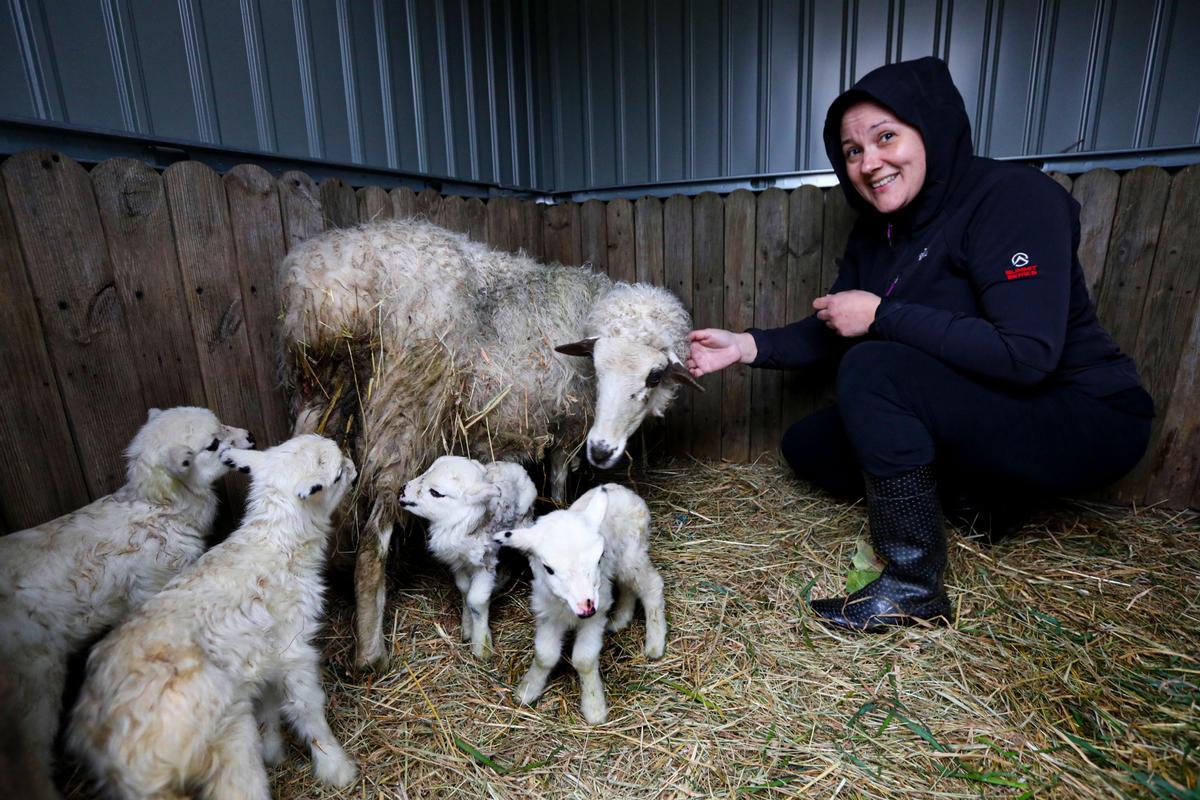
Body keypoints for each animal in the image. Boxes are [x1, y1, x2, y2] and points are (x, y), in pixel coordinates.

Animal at [68, 438, 357, 800]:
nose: (355, 468)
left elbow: (268, 706)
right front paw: (336, 766)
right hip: (226, 732)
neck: (274, 546)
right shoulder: (293, 646)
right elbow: (307, 708)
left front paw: (274, 751)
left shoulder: (259, 654)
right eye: (337, 474)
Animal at [398, 453, 535, 662]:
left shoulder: (485, 561)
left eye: (436, 493)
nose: (402, 491)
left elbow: (476, 600)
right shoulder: (459, 562)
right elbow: (464, 590)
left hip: (524, 523)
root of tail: (515, 466)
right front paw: (467, 629)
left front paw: (482, 647)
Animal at [492, 482, 672, 724]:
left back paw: (654, 644)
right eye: (548, 569)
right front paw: (527, 690)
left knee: (651, 585)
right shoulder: (547, 613)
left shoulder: (596, 613)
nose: (586, 607)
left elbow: (584, 660)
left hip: (632, 553)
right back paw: (620, 619)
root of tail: (622, 488)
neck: (567, 609)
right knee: (627, 586)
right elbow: (545, 655)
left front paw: (594, 708)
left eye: (599, 557)